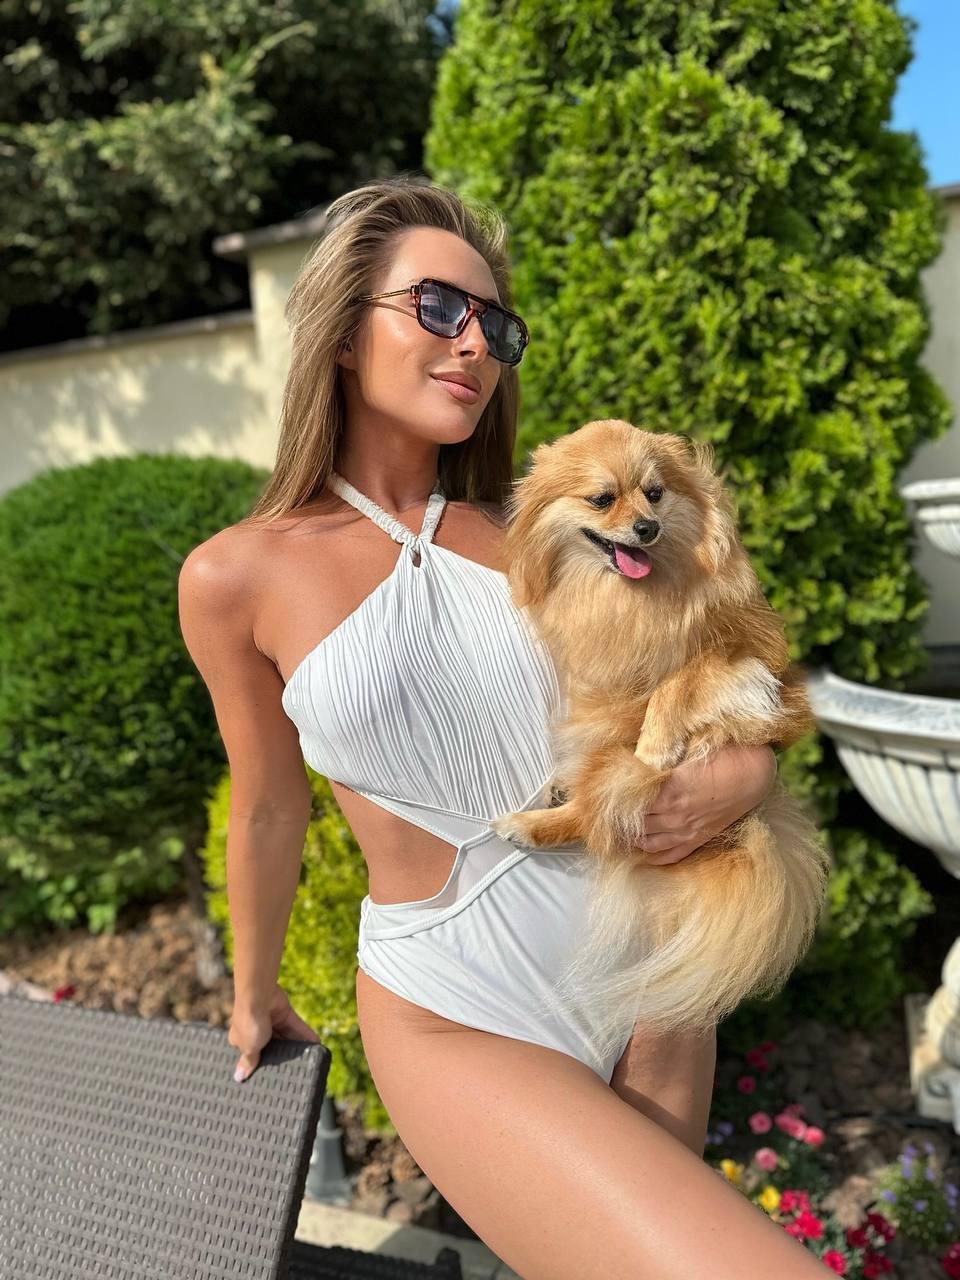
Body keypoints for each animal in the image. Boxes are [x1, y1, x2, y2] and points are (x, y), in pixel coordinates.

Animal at [490, 419, 831, 1054]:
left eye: (654, 494)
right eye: (602, 499)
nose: (646, 527)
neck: (634, 600)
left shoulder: (745, 662)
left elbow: (683, 676)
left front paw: (656, 742)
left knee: (597, 811)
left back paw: (532, 823)